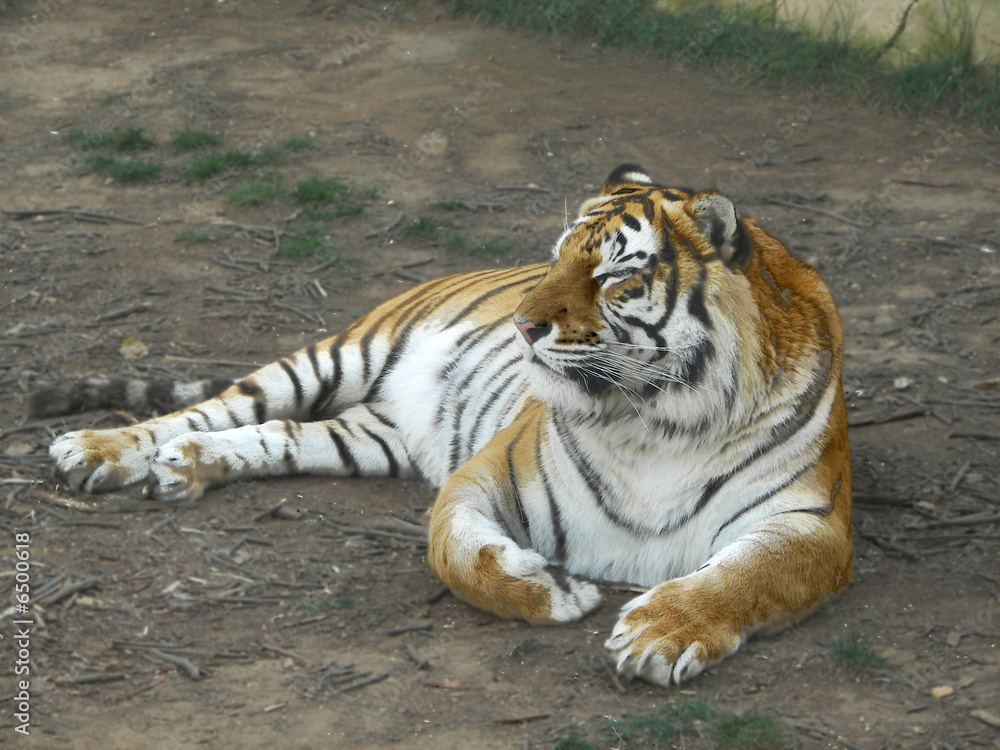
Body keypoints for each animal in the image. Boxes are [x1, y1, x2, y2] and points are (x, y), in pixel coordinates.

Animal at [40, 164, 852, 686]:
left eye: (615, 275)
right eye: (557, 259)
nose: (524, 325)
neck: (656, 419)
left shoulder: (811, 523)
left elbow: (745, 576)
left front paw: (663, 631)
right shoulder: (482, 476)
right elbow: (457, 553)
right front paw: (551, 592)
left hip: (367, 437)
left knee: (276, 436)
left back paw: (187, 464)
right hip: (333, 357)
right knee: (216, 406)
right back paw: (100, 450)